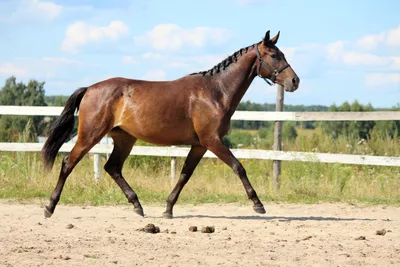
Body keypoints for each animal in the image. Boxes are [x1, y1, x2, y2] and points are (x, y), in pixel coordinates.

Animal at [42, 30, 298, 220]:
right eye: (274, 55)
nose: (295, 81)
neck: (216, 91)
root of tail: (89, 89)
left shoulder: (200, 145)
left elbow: (185, 174)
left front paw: (168, 209)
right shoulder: (212, 141)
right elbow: (238, 167)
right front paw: (258, 204)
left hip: (125, 138)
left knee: (112, 167)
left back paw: (138, 206)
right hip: (91, 134)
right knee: (68, 163)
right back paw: (50, 207)